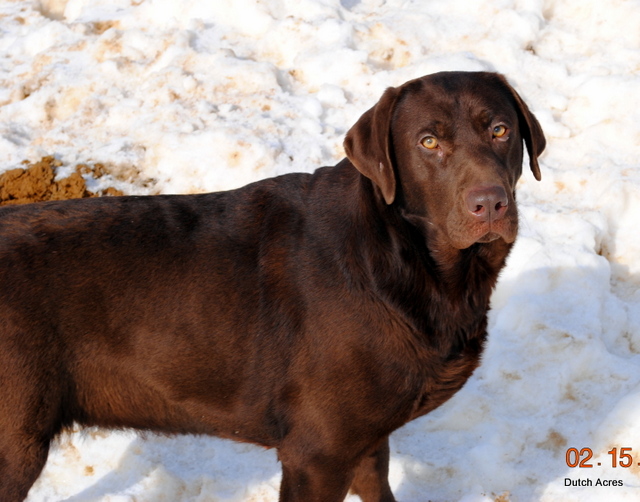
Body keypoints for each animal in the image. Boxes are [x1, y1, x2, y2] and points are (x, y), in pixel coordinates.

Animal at [0, 71, 544, 502]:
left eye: (500, 130)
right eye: (428, 142)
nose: (490, 204)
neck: (404, 258)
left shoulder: (365, 439)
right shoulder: (317, 453)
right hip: (15, 444)